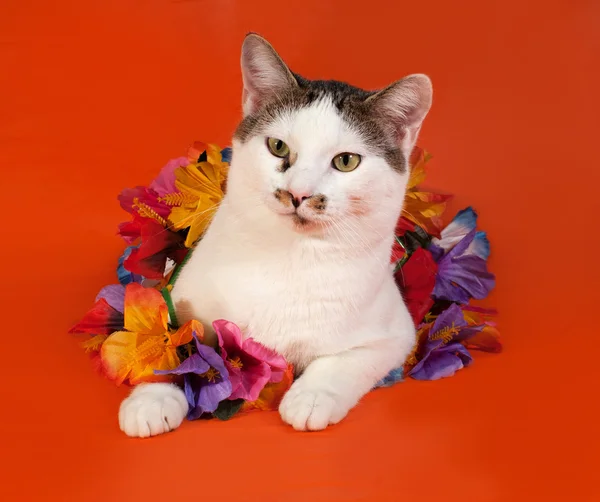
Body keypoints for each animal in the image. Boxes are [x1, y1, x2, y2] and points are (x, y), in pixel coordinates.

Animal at [119, 33, 434, 438]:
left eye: (346, 161)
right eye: (278, 146)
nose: (298, 194)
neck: (288, 255)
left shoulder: (395, 333)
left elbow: (345, 361)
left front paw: (312, 397)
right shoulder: (181, 295)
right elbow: (172, 337)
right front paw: (153, 396)